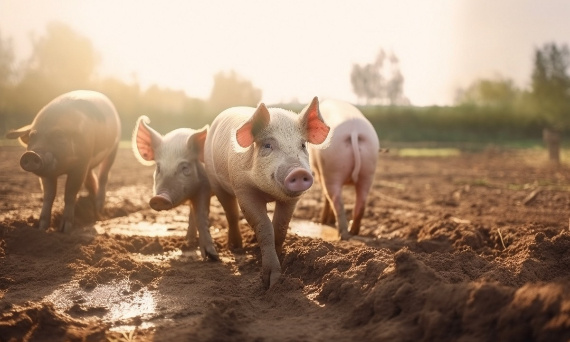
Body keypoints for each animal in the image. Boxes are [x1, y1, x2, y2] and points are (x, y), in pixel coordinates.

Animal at [5, 90, 121, 232]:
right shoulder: (48, 173)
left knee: (104, 176)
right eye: (32, 136)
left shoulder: (80, 165)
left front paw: (65, 229)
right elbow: (48, 195)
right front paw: (41, 228)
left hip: (114, 147)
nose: (31, 154)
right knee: (90, 177)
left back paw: (99, 208)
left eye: (59, 135)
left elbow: (70, 192)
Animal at [132, 116, 219, 260]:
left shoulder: (205, 187)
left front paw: (213, 257)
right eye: (158, 167)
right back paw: (188, 241)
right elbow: (195, 215)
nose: (159, 197)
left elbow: (201, 216)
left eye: (184, 167)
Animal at [203, 97, 328, 288]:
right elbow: (264, 225)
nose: (298, 172)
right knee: (231, 213)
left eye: (302, 145)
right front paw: (270, 282)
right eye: (268, 145)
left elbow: (280, 226)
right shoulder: (244, 190)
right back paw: (236, 247)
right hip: (215, 181)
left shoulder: (291, 200)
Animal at [306, 97, 378, 239]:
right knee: (361, 203)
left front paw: (324, 221)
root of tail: (354, 130)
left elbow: (325, 196)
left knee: (336, 201)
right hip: (368, 170)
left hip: (331, 170)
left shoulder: (320, 172)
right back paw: (353, 231)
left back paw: (342, 234)